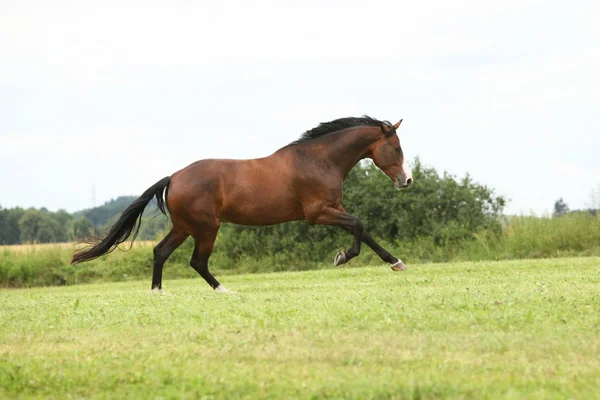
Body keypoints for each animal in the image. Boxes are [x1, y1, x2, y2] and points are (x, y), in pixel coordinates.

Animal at [71, 114, 412, 292]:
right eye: (396, 148)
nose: (406, 181)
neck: (318, 160)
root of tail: (174, 177)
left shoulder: (334, 208)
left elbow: (364, 231)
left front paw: (396, 262)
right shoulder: (318, 213)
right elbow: (359, 225)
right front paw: (342, 256)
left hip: (184, 227)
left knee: (160, 251)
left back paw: (158, 293)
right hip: (206, 228)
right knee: (197, 262)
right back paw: (224, 291)